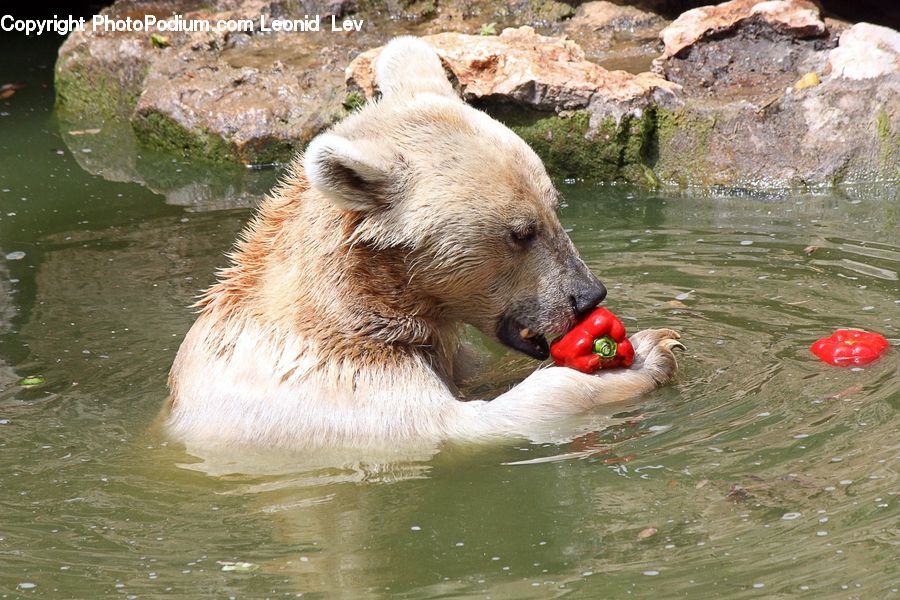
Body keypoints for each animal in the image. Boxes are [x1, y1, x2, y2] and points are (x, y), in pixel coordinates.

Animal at [164, 36, 682, 450]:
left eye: (556, 206)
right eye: (521, 232)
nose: (588, 295)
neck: (346, 307)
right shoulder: (345, 394)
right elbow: (475, 421)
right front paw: (651, 350)